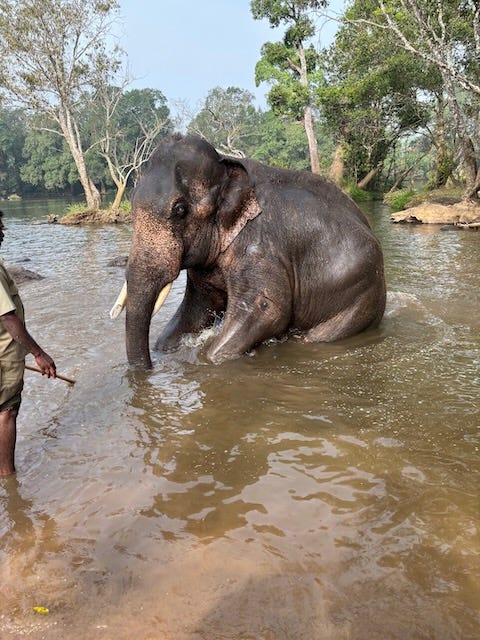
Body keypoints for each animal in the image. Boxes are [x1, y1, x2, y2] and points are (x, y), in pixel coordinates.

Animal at [114, 132, 388, 368]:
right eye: (132, 200)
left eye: (180, 210)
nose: (150, 368)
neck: (227, 167)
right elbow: (197, 308)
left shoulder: (259, 248)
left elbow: (267, 309)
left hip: (360, 296)